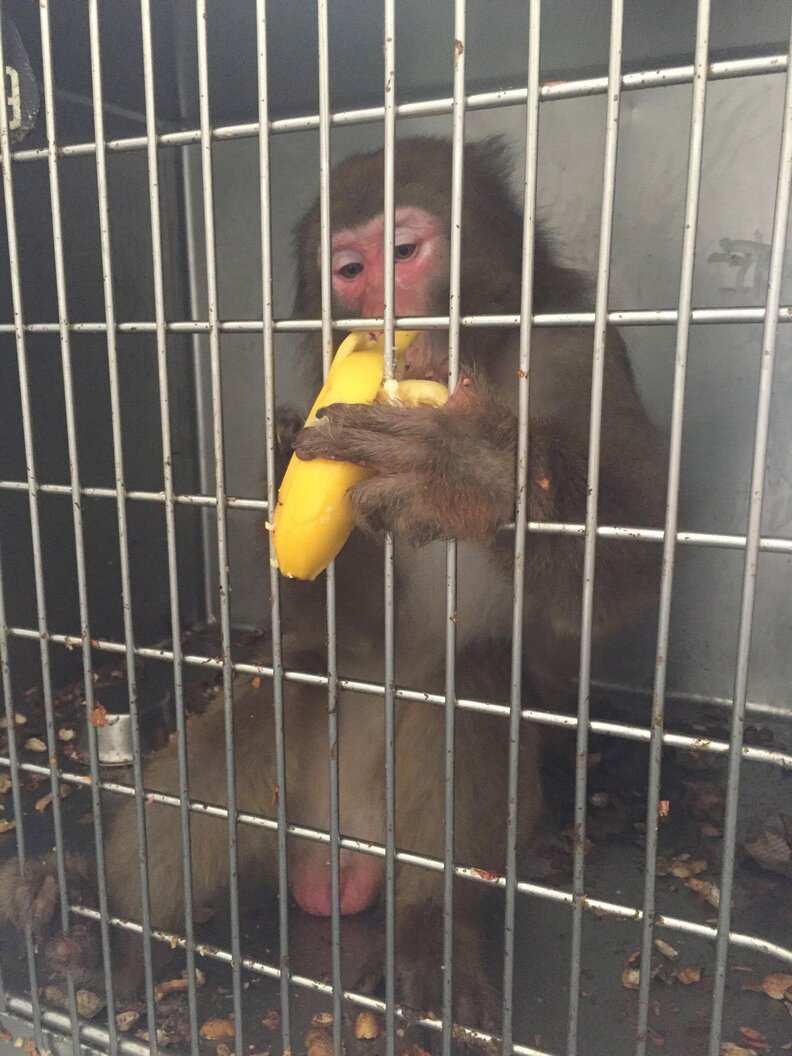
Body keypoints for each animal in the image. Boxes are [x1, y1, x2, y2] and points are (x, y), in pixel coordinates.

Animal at [0, 136, 665, 1034]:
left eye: (404, 252)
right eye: (350, 270)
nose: (379, 310)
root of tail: (344, 857)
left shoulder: (582, 355)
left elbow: (626, 574)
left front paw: (470, 468)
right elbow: (339, 623)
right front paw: (287, 455)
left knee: (472, 682)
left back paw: (433, 935)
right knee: (288, 683)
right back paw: (116, 934)